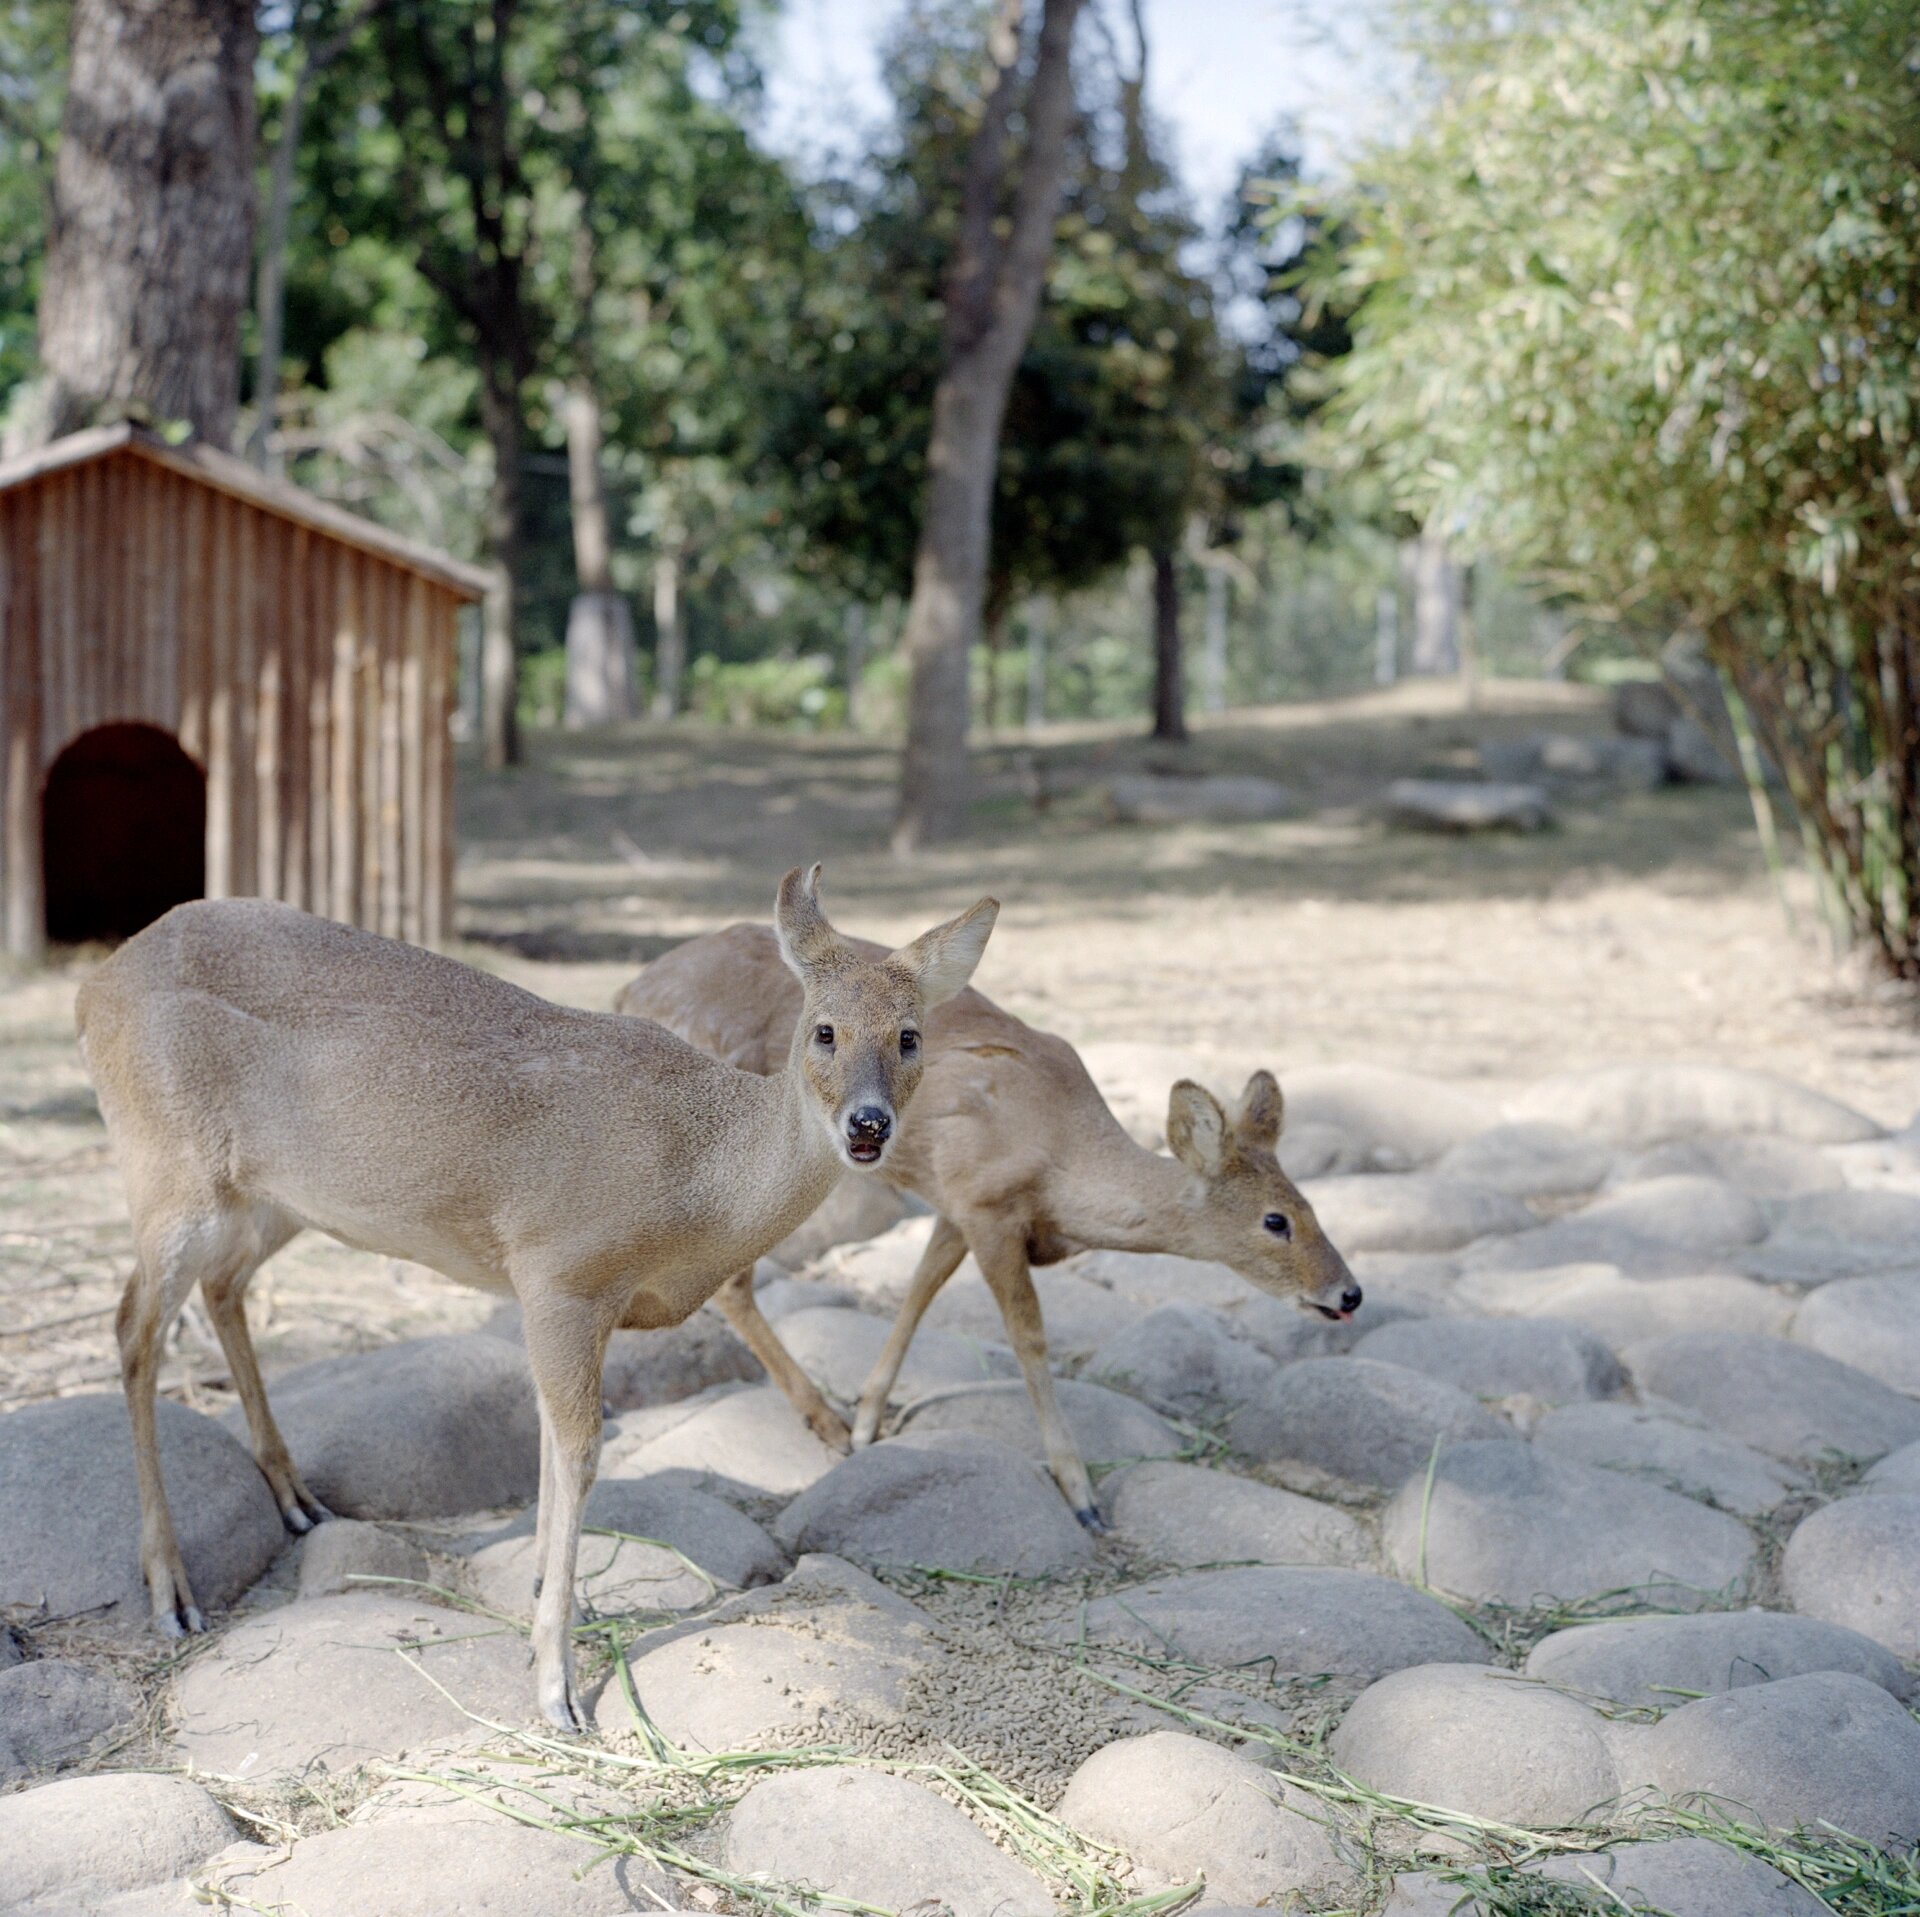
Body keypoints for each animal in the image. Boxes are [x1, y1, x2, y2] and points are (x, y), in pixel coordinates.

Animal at [80, 864, 998, 1736]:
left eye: (910, 1035)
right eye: (824, 1030)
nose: (868, 1125)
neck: (696, 1181)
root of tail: (96, 988)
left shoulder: (571, 1300)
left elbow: (556, 1446)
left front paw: (543, 1615)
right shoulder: (559, 1270)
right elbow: (580, 1451)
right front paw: (557, 1686)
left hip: (274, 1196)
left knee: (221, 1287)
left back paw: (297, 1498)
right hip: (166, 1166)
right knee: (132, 1325)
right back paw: (171, 1590)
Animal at [622, 922, 1359, 1536]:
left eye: (1312, 1206)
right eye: (1274, 1220)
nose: (1349, 1292)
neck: (1059, 1159)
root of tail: (630, 989)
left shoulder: (956, 1204)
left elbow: (917, 1293)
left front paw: (869, 1421)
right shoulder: (986, 1204)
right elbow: (1028, 1336)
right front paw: (1081, 1494)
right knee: (722, 1278)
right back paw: (819, 1419)